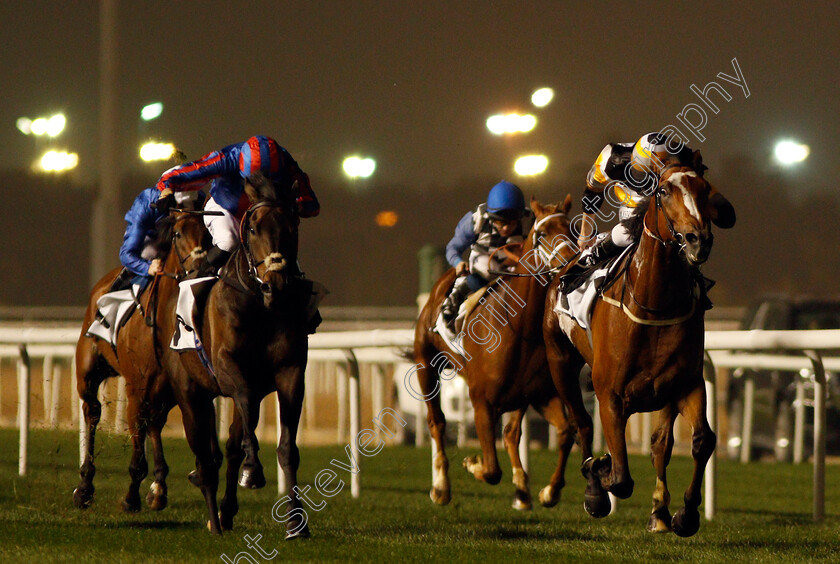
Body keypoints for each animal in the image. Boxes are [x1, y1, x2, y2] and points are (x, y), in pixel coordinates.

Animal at [74, 207, 213, 512]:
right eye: (178, 233)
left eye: (208, 233)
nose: (199, 269)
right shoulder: (136, 389)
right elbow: (137, 452)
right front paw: (130, 497)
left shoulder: (175, 388)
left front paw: (156, 489)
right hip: (88, 371)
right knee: (92, 412)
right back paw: (85, 486)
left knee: (154, 423)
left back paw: (158, 485)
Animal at [169, 174, 314, 536]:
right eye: (252, 228)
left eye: (293, 225)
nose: (277, 284)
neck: (261, 306)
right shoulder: (227, 367)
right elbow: (245, 409)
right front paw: (253, 469)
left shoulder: (291, 372)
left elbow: (287, 447)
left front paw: (297, 522)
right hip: (189, 393)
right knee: (204, 458)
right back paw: (214, 519)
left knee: (226, 446)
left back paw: (225, 512)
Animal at [412, 197, 576, 512]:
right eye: (542, 235)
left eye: (572, 229)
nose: (571, 261)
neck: (519, 326)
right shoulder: (481, 402)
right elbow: (491, 470)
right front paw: (471, 463)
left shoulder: (540, 394)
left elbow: (566, 432)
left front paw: (549, 491)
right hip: (425, 364)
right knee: (437, 421)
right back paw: (441, 487)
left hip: (517, 398)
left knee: (511, 433)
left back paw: (522, 491)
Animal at [544, 155, 736, 536]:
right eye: (663, 191)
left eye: (704, 188)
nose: (698, 240)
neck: (654, 302)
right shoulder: (610, 393)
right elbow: (619, 477)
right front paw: (599, 475)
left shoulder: (686, 384)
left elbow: (700, 440)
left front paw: (684, 514)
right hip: (560, 362)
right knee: (581, 423)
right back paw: (594, 488)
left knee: (660, 444)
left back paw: (659, 513)